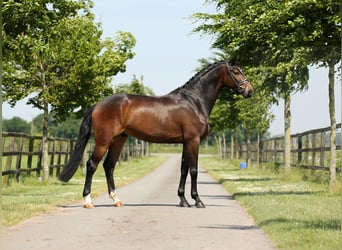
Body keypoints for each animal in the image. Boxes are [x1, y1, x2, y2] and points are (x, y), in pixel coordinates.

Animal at [58, 59, 252, 208]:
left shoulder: (185, 142)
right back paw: (88, 201)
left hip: (119, 140)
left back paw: (116, 200)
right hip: (104, 141)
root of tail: (98, 104)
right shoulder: (193, 140)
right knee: (92, 165)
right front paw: (197, 201)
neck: (194, 101)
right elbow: (194, 170)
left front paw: (183, 200)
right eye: (236, 71)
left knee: (109, 165)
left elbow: (183, 169)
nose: (249, 90)